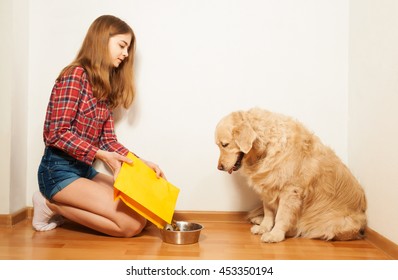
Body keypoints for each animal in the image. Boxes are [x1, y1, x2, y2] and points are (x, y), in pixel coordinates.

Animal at [215, 107, 366, 243]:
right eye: (219, 145)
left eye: (225, 144)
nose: (219, 167)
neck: (266, 148)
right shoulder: (268, 186)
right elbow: (269, 212)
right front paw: (264, 227)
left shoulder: (290, 191)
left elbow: (282, 216)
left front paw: (275, 234)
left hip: (333, 222)